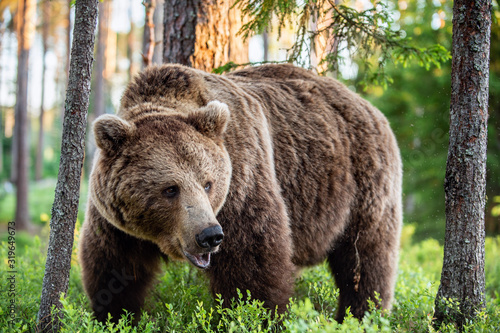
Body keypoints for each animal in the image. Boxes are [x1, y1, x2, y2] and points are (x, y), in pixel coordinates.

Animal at [80, 62, 404, 322]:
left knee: (364, 260)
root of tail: (370, 106)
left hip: (362, 183)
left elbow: (253, 268)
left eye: (208, 183)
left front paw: (252, 316)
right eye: (170, 189)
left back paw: (362, 315)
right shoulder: (115, 222)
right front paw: (115, 315)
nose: (209, 235)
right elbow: (113, 269)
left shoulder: (242, 182)